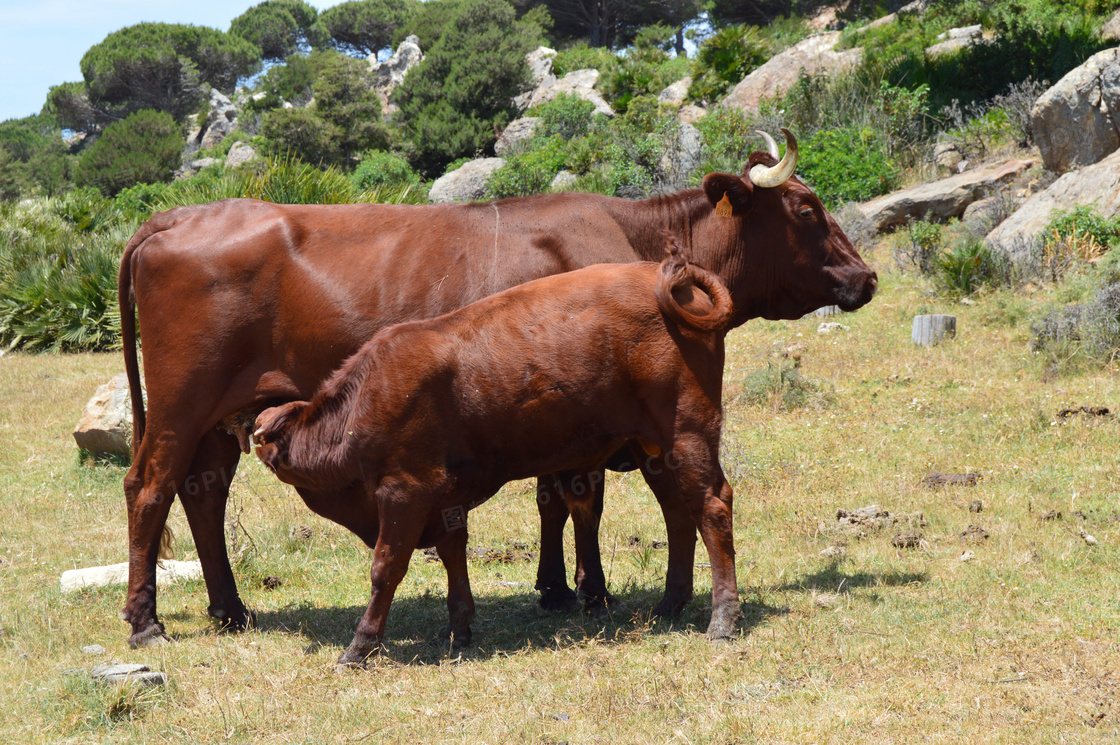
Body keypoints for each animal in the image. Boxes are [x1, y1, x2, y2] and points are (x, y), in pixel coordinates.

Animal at [255, 250, 743, 663]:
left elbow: (386, 567)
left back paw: (723, 618)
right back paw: (671, 603)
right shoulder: (446, 500)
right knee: (678, 513)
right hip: (654, 449)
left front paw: (361, 644)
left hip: (688, 432)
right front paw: (459, 630)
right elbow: (453, 556)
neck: (365, 401)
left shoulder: (404, 492)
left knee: (712, 507)